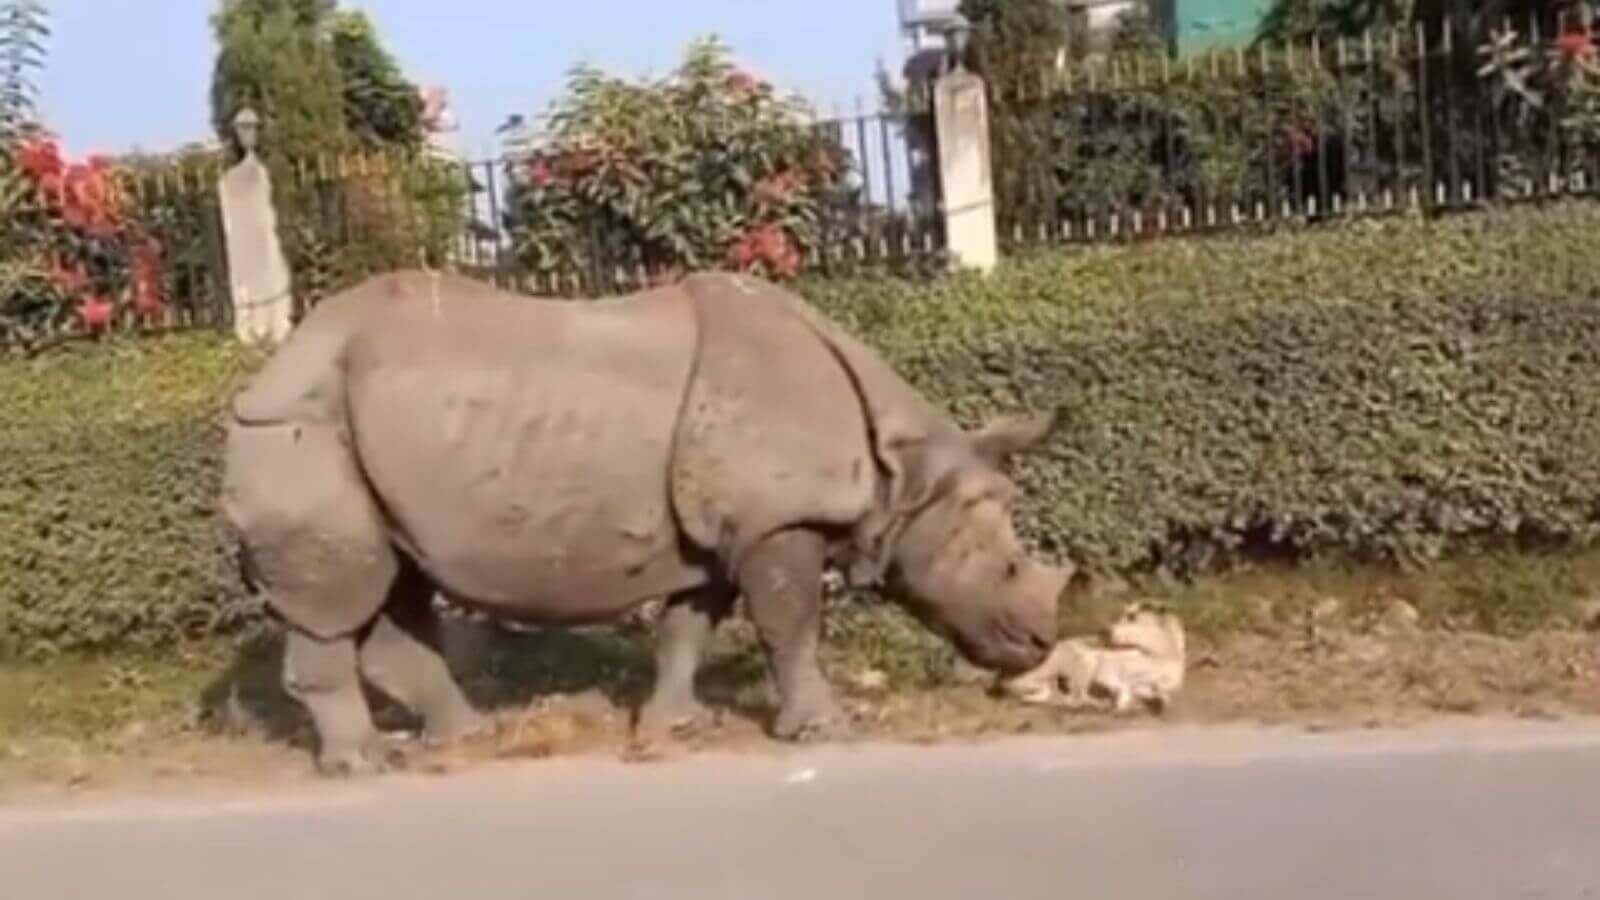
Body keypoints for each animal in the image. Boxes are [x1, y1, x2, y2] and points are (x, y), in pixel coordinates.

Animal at [998, 598, 1190, 711]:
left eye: (1132, 616)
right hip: (1086, 660)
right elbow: (1124, 686)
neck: (1159, 653)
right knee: (1073, 699)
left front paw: (1157, 699)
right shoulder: (1110, 672)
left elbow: (1159, 690)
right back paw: (1100, 703)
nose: (1103, 631)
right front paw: (1122, 700)